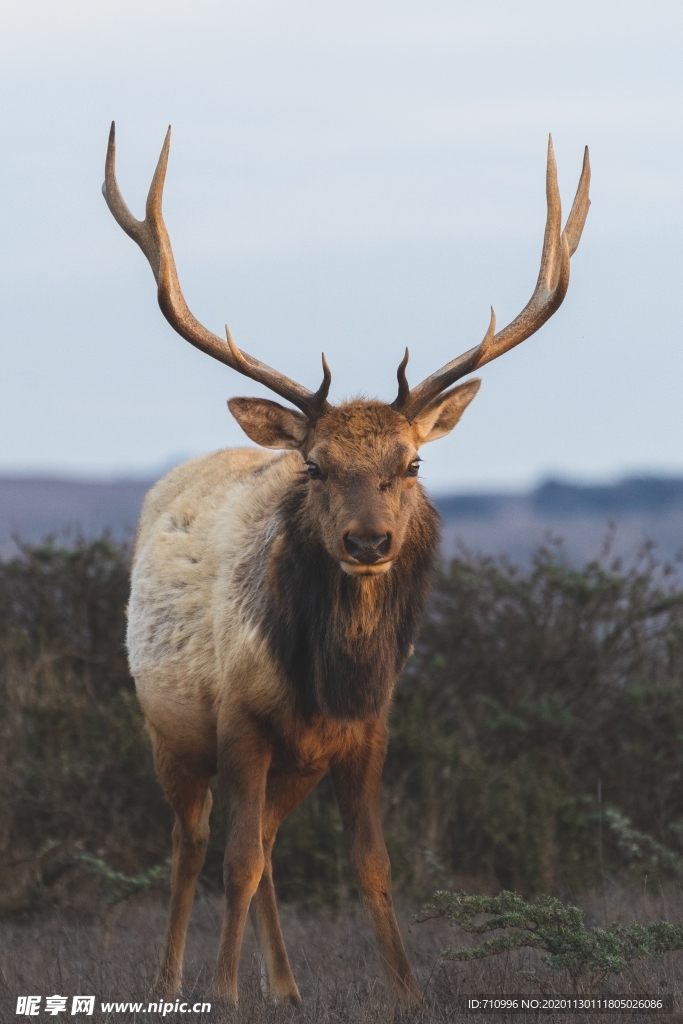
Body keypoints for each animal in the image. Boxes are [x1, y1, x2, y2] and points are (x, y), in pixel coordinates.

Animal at [102, 121, 593, 1007]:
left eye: (411, 463)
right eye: (315, 466)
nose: (368, 543)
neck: (330, 678)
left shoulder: (366, 732)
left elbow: (370, 865)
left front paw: (407, 994)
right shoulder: (239, 719)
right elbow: (234, 861)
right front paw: (221, 995)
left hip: (294, 763)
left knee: (263, 846)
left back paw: (288, 989)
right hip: (170, 730)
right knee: (194, 842)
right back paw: (170, 980)